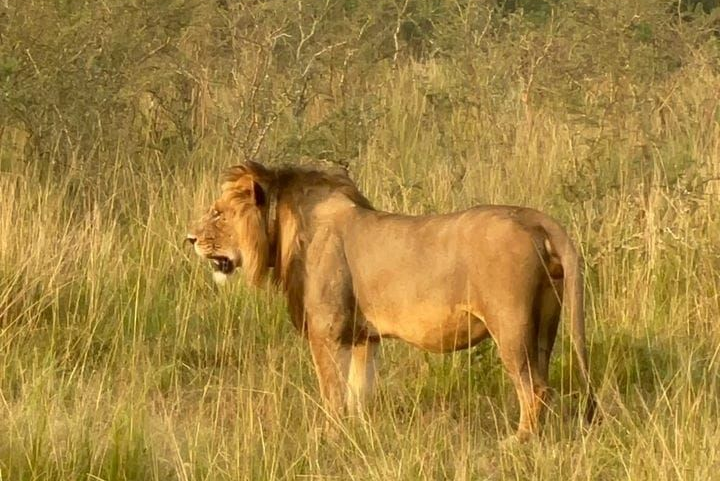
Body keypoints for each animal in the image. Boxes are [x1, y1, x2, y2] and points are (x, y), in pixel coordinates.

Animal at [187, 161, 597, 441]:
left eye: (217, 214)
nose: (189, 238)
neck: (284, 233)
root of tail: (532, 217)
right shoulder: (363, 337)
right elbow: (358, 391)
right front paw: (358, 432)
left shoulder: (326, 332)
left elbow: (332, 393)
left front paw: (330, 436)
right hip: (545, 324)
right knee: (544, 382)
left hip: (510, 325)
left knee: (535, 389)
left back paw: (518, 441)